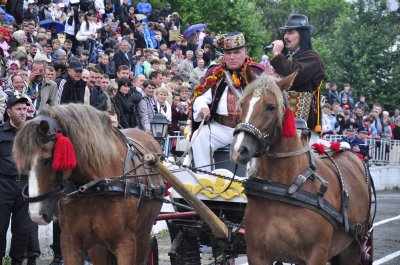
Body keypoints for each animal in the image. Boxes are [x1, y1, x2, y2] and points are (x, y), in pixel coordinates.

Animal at [13, 103, 165, 264]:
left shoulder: (127, 244)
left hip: (143, 235)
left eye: (47, 159)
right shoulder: (70, 241)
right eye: (22, 162)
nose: (36, 215)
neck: (97, 187)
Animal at [231, 71, 372, 262]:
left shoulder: (317, 254)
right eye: (242, 104)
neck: (286, 187)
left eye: (270, 107)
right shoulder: (256, 253)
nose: (239, 149)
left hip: (353, 248)